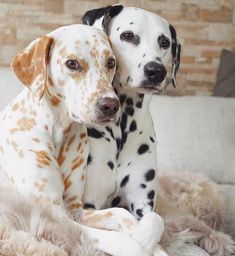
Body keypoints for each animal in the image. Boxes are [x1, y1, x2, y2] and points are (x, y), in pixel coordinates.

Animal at [0, 24, 164, 256]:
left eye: (111, 62)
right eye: (72, 63)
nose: (111, 105)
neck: (58, 130)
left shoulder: (76, 208)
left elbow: (123, 215)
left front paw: (152, 242)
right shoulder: (55, 216)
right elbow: (120, 240)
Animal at [81, 5, 181, 219]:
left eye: (164, 42)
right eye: (128, 35)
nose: (156, 71)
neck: (123, 127)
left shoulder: (143, 203)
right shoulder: (87, 204)